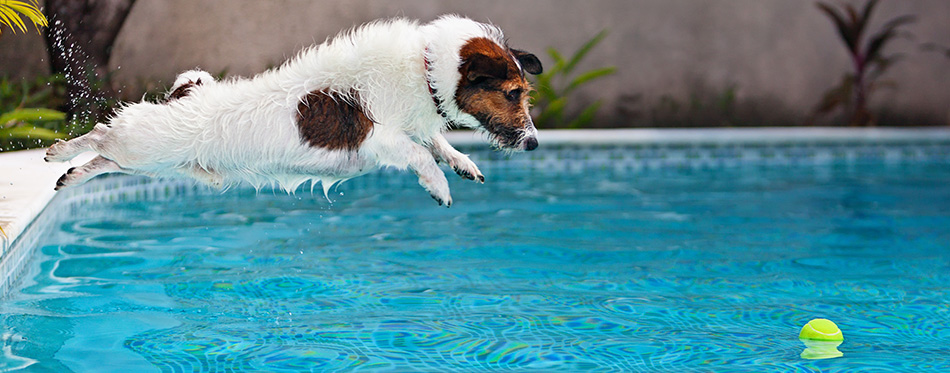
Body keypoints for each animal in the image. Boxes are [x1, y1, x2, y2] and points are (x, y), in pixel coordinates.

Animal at [44, 15, 548, 206]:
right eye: (512, 94)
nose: (534, 143)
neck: (423, 68)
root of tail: (184, 96)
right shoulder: (379, 136)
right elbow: (421, 154)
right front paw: (439, 186)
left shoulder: (414, 125)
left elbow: (437, 142)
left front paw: (462, 163)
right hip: (143, 144)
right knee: (101, 135)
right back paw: (58, 152)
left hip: (155, 163)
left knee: (104, 160)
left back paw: (71, 174)